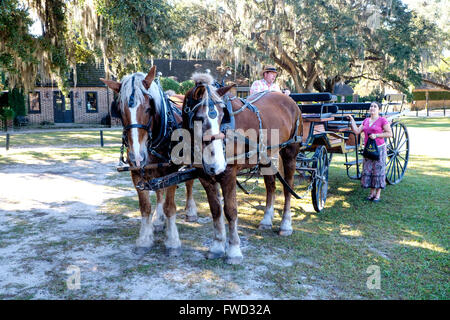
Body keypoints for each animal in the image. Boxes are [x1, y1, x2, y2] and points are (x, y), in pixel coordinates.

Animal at [101, 67, 198, 255]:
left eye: (148, 108)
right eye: (120, 111)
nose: (137, 156)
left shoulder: (171, 171)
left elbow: (170, 207)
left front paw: (173, 240)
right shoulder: (137, 173)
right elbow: (145, 207)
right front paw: (145, 238)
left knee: (189, 183)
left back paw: (190, 211)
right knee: (159, 191)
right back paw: (158, 220)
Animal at [183, 74, 302, 264]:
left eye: (222, 116)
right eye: (199, 118)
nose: (217, 164)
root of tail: (289, 100)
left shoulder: (228, 174)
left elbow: (230, 211)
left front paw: (233, 250)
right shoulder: (204, 176)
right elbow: (215, 210)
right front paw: (217, 246)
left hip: (290, 152)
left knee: (287, 187)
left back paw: (286, 225)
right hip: (266, 157)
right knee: (271, 186)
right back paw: (266, 220)